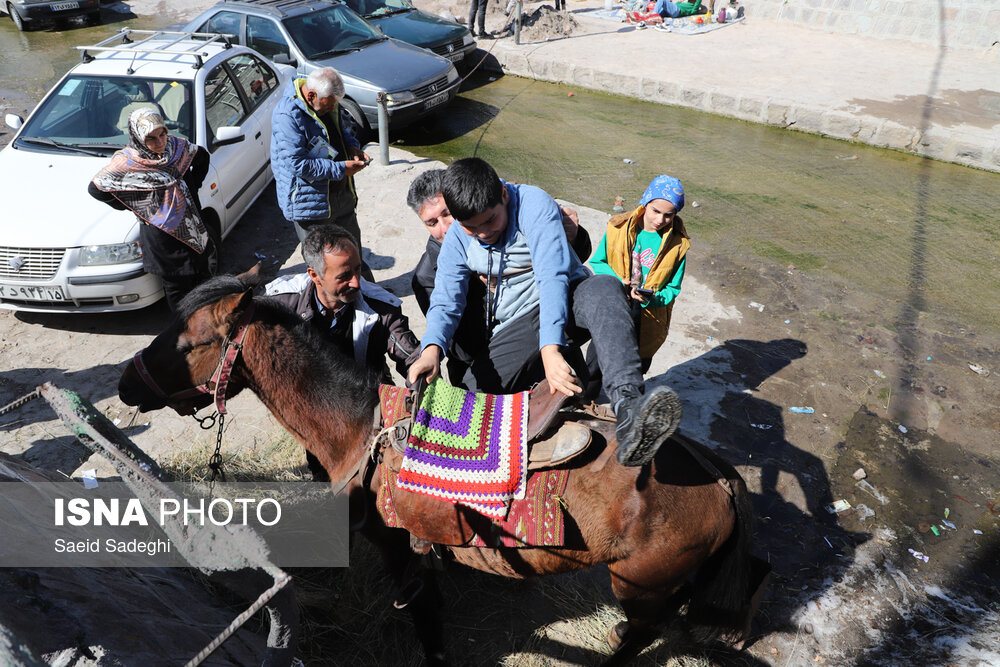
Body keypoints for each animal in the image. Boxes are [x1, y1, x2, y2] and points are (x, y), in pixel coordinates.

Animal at [117, 272, 756, 667]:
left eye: (188, 342)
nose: (125, 382)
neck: (364, 430)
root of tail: (721, 480)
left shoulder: (401, 549)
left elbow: (425, 617)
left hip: (641, 585)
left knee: (643, 635)